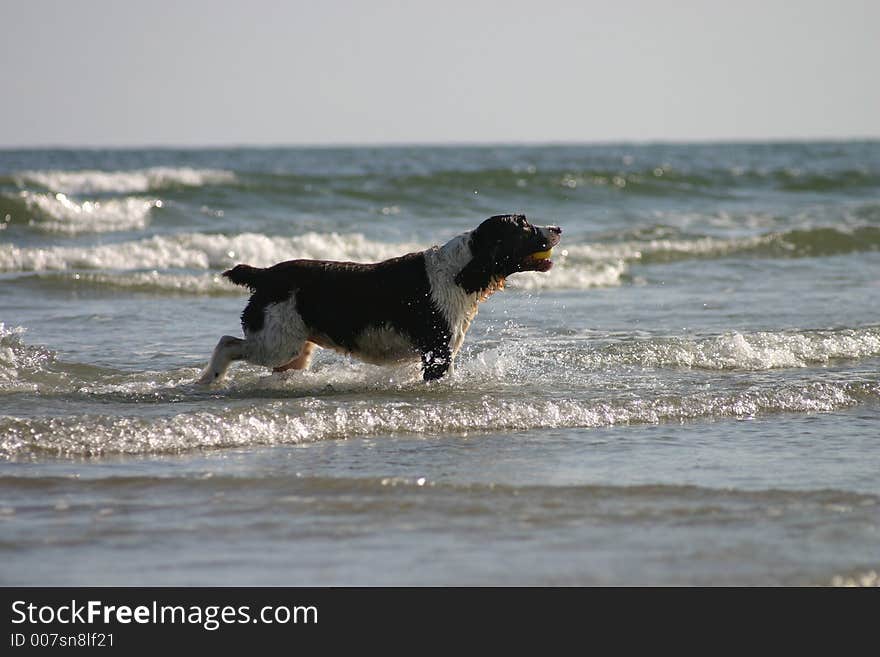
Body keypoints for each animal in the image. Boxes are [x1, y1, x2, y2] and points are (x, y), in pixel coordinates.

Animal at [196, 213, 560, 382]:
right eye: (524, 225)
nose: (557, 228)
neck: (462, 270)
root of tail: (266, 273)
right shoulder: (437, 352)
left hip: (296, 348)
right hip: (278, 343)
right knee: (227, 343)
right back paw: (209, 381)